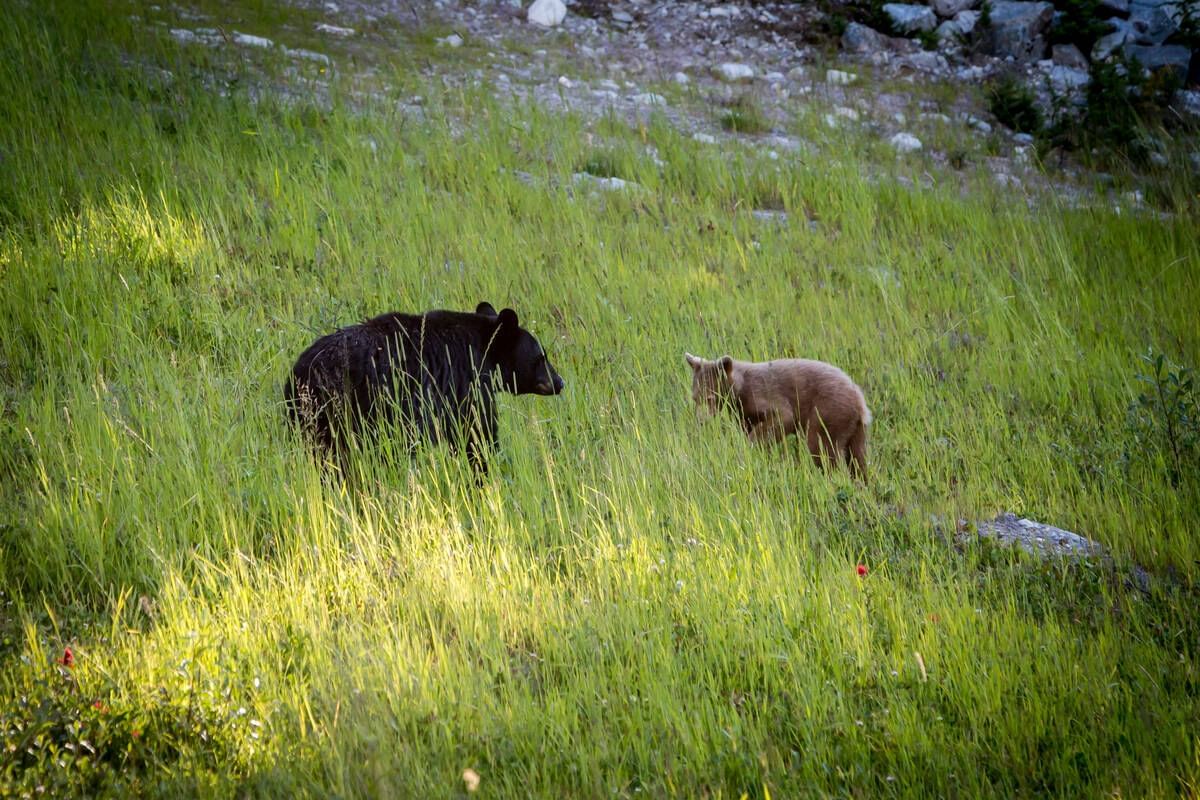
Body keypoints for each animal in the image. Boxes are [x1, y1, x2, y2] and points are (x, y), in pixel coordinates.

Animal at [283, 303, 564, 472]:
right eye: (542, 356)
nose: (560, 382)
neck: (482, 350)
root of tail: (301, 373)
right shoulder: (465, 385)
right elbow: (476, 432)